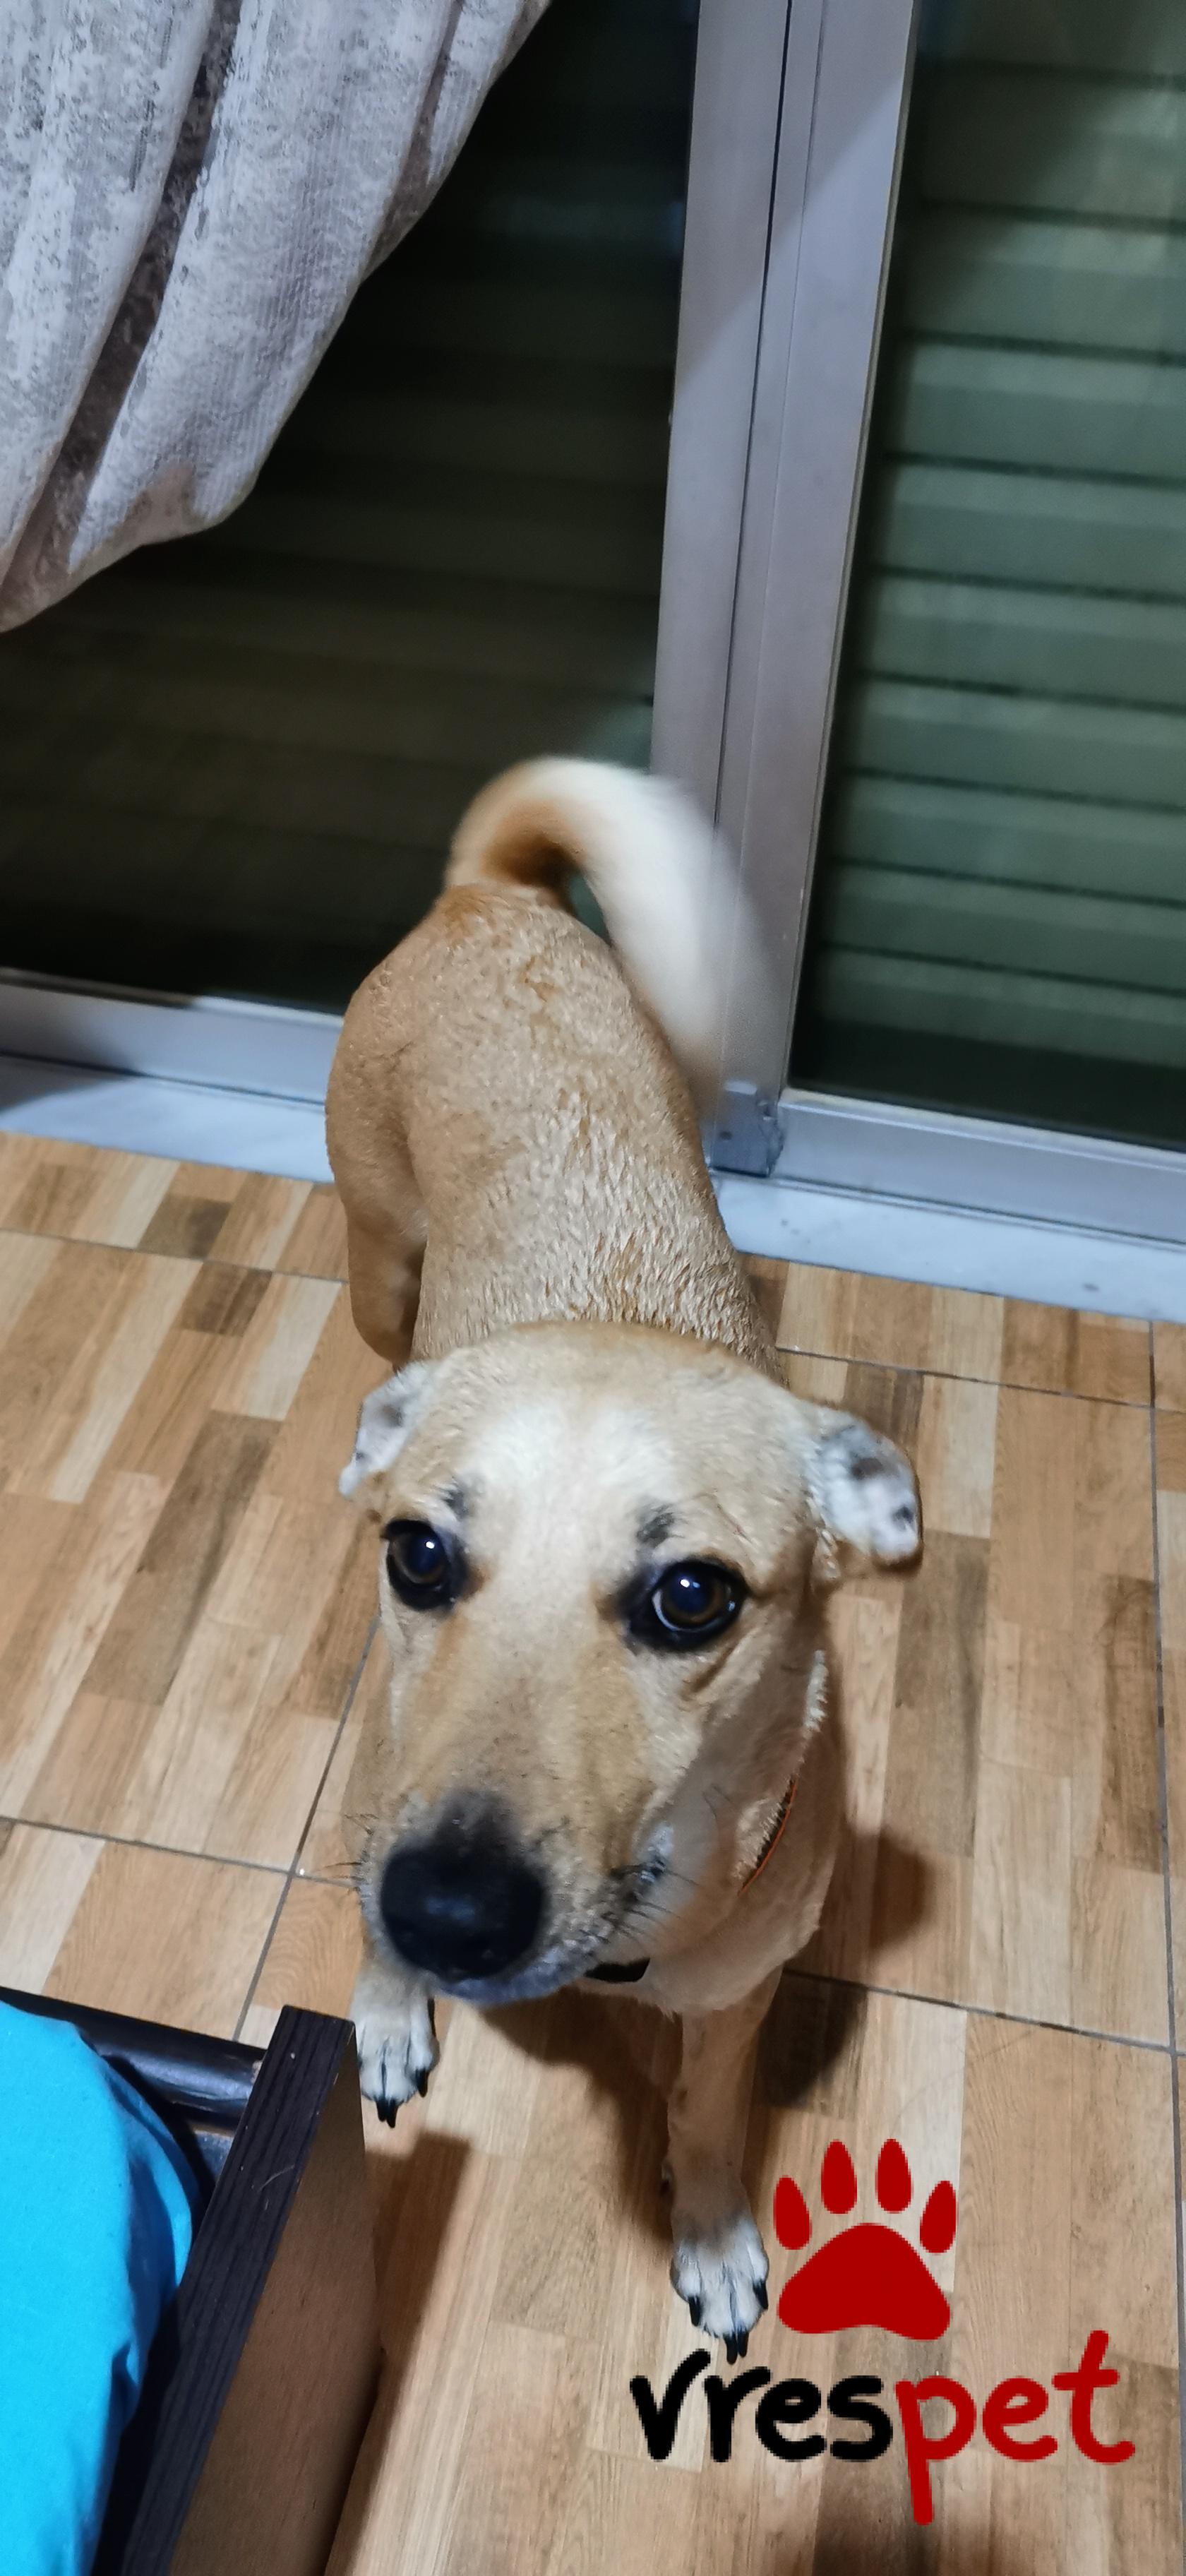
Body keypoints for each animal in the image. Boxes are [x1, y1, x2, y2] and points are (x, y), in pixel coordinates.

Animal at [328, 758, 921, 2358]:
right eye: (419, 1556)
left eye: (691, 1596)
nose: (447, 1915)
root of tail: (490, 901)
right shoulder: (385, 1776)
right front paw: (390, 2004)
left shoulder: (738, 1999)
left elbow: (713, 2119)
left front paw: (709, 2229)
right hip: (378, 1259)